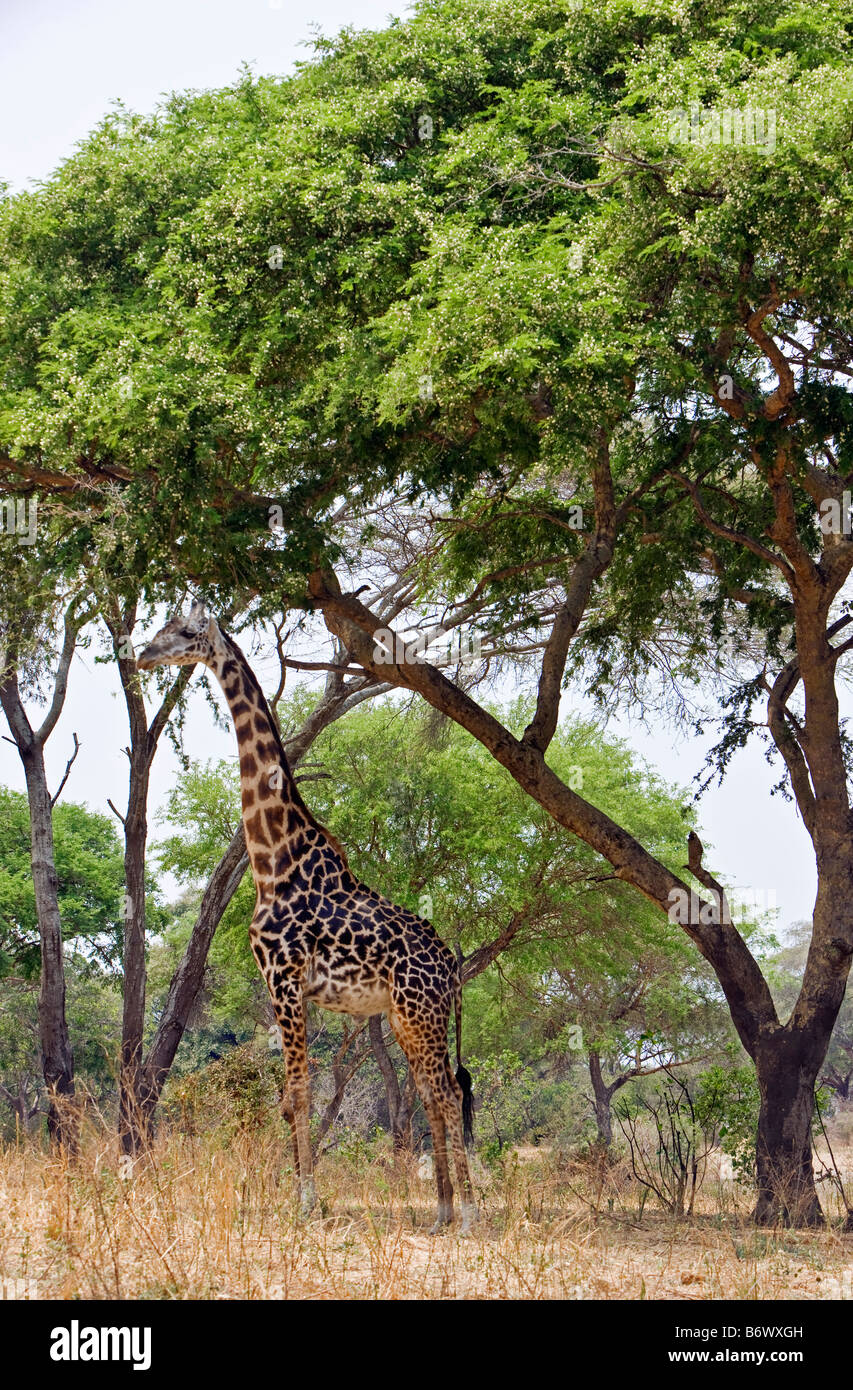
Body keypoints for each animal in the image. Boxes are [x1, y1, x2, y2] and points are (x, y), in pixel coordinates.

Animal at [136, 603, 477, 1234]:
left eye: (187, 633)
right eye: (163, 626)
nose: (143, 654)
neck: (273, 861)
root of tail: (455, 969)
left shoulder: (285, 977)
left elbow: (298, 1093)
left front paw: (306, 1202)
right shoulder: (281, 982)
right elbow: (292, 1097)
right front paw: (301, 1197)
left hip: (422, 1012)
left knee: (445, 1093)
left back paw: (467, 1213)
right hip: (406, 1017)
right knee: (430, 1089)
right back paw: (441, 1211)